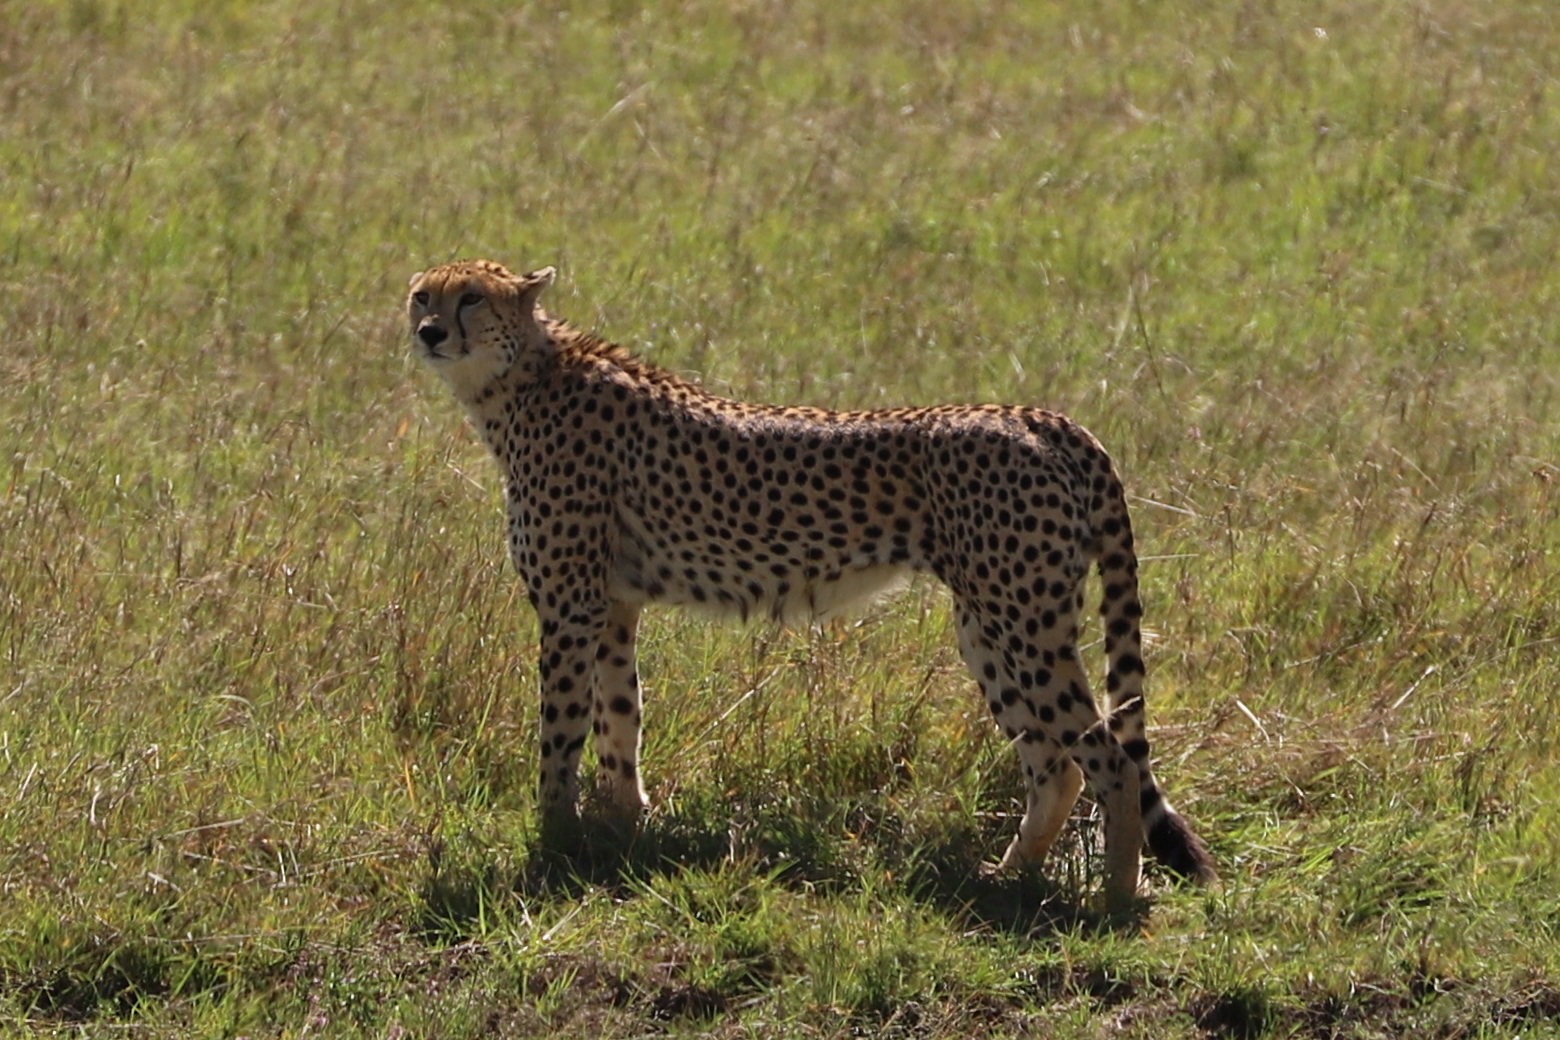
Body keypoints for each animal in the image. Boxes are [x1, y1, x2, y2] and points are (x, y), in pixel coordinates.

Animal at [408, 260, 1210, 910]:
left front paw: (553, 838)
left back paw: (1115, 897)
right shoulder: (613, 606)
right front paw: (622, 827)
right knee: (1055, 763)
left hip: (1021, 618)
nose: (427, 331)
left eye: (471, 297)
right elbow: (619, 720)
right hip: (992, 625)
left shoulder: (570, 605)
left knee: (1109, 758)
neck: (519, 379)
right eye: (422, 293)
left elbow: (562, 728)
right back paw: (1008, 877)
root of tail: (1043, 415)